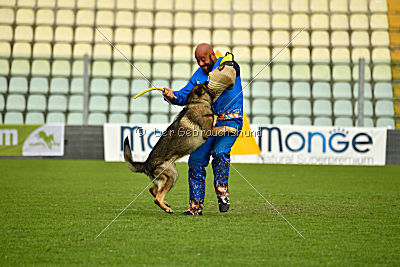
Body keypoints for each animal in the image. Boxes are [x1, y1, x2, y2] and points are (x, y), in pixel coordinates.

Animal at [124, 85, 238, 215]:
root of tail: (146, 164)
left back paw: (166, 204)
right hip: (171, 176)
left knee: (153, 190)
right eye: (207, 85)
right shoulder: (209, 131)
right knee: (157, 198)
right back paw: (167, 208)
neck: (197, 102)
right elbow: (221, 124)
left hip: (170, 176)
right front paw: (231, 128)